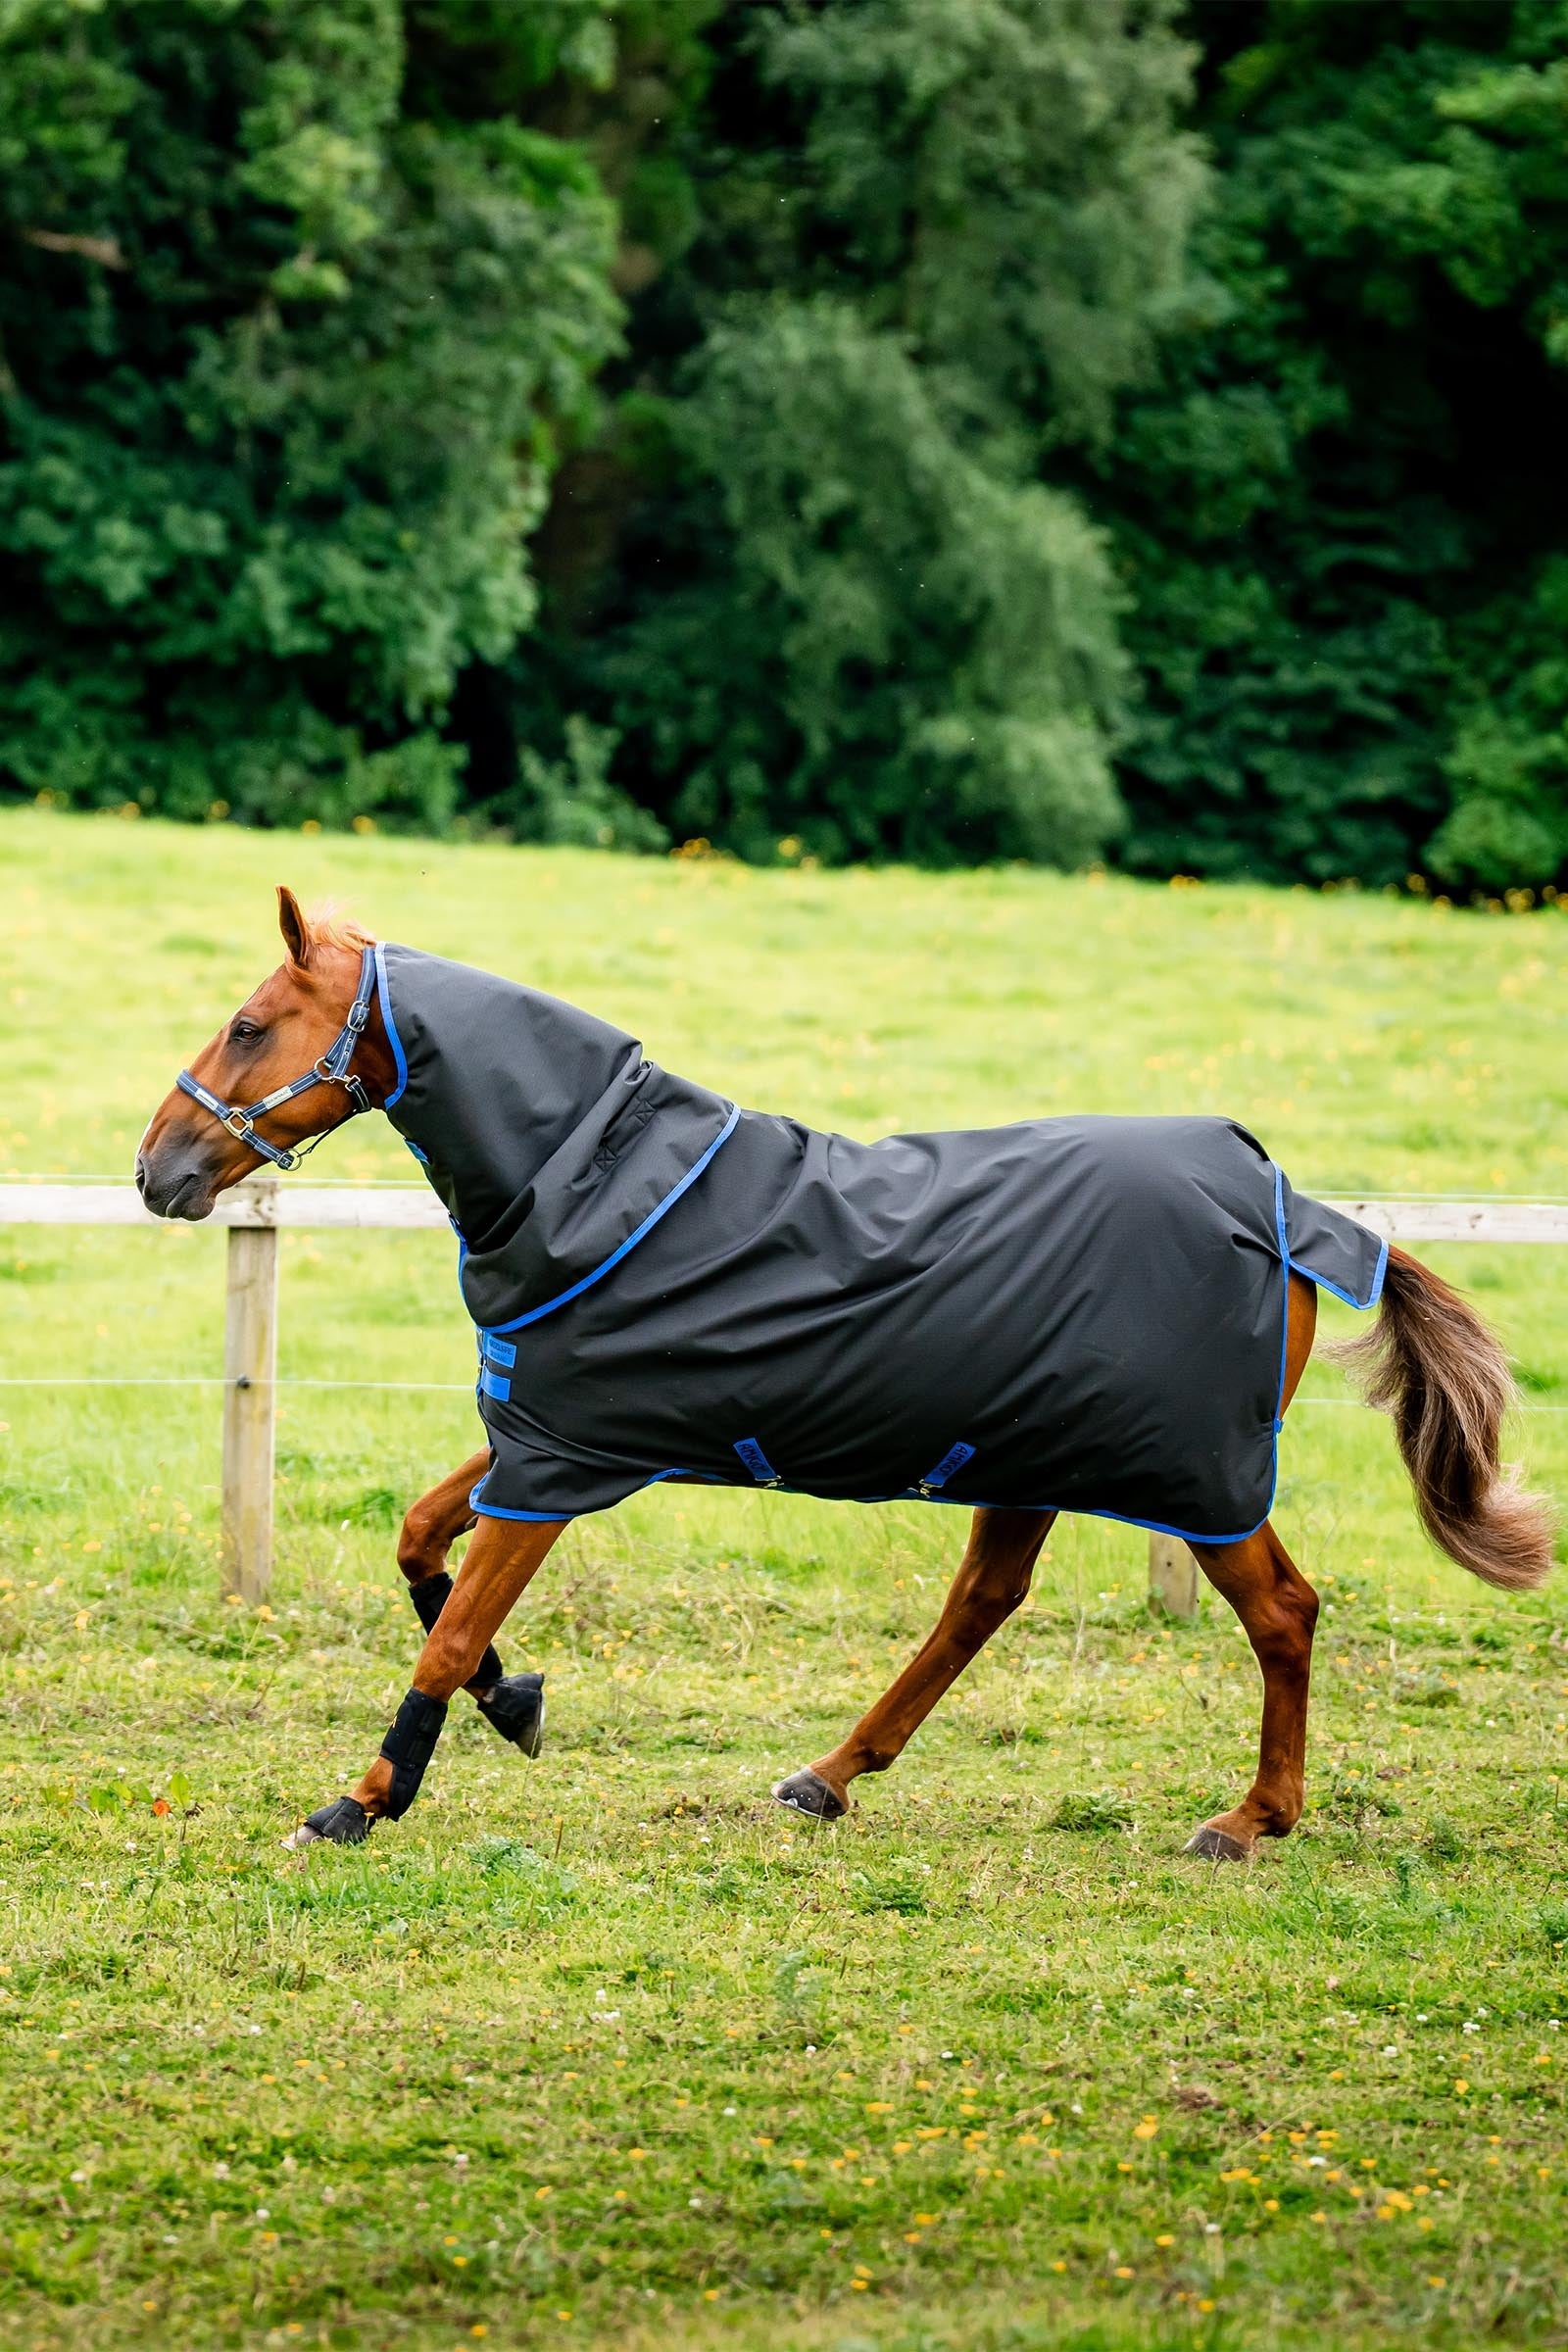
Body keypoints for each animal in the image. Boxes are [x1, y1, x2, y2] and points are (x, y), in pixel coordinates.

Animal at [136, 889, 1554, 1856]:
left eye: (250, 1024)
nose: (159, 1170)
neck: (598, 1183)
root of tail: (1297, 1211)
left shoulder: (558, 1462)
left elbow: (448, 1629)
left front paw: (364, 1797)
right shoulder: (552, 1430)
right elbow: (421, 1547)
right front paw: (515, 1701)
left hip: (1193, 1478)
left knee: (1283, 1614)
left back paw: (1251, 1817)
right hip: (1029, 1451)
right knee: (982, 1602)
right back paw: (829, 1773)